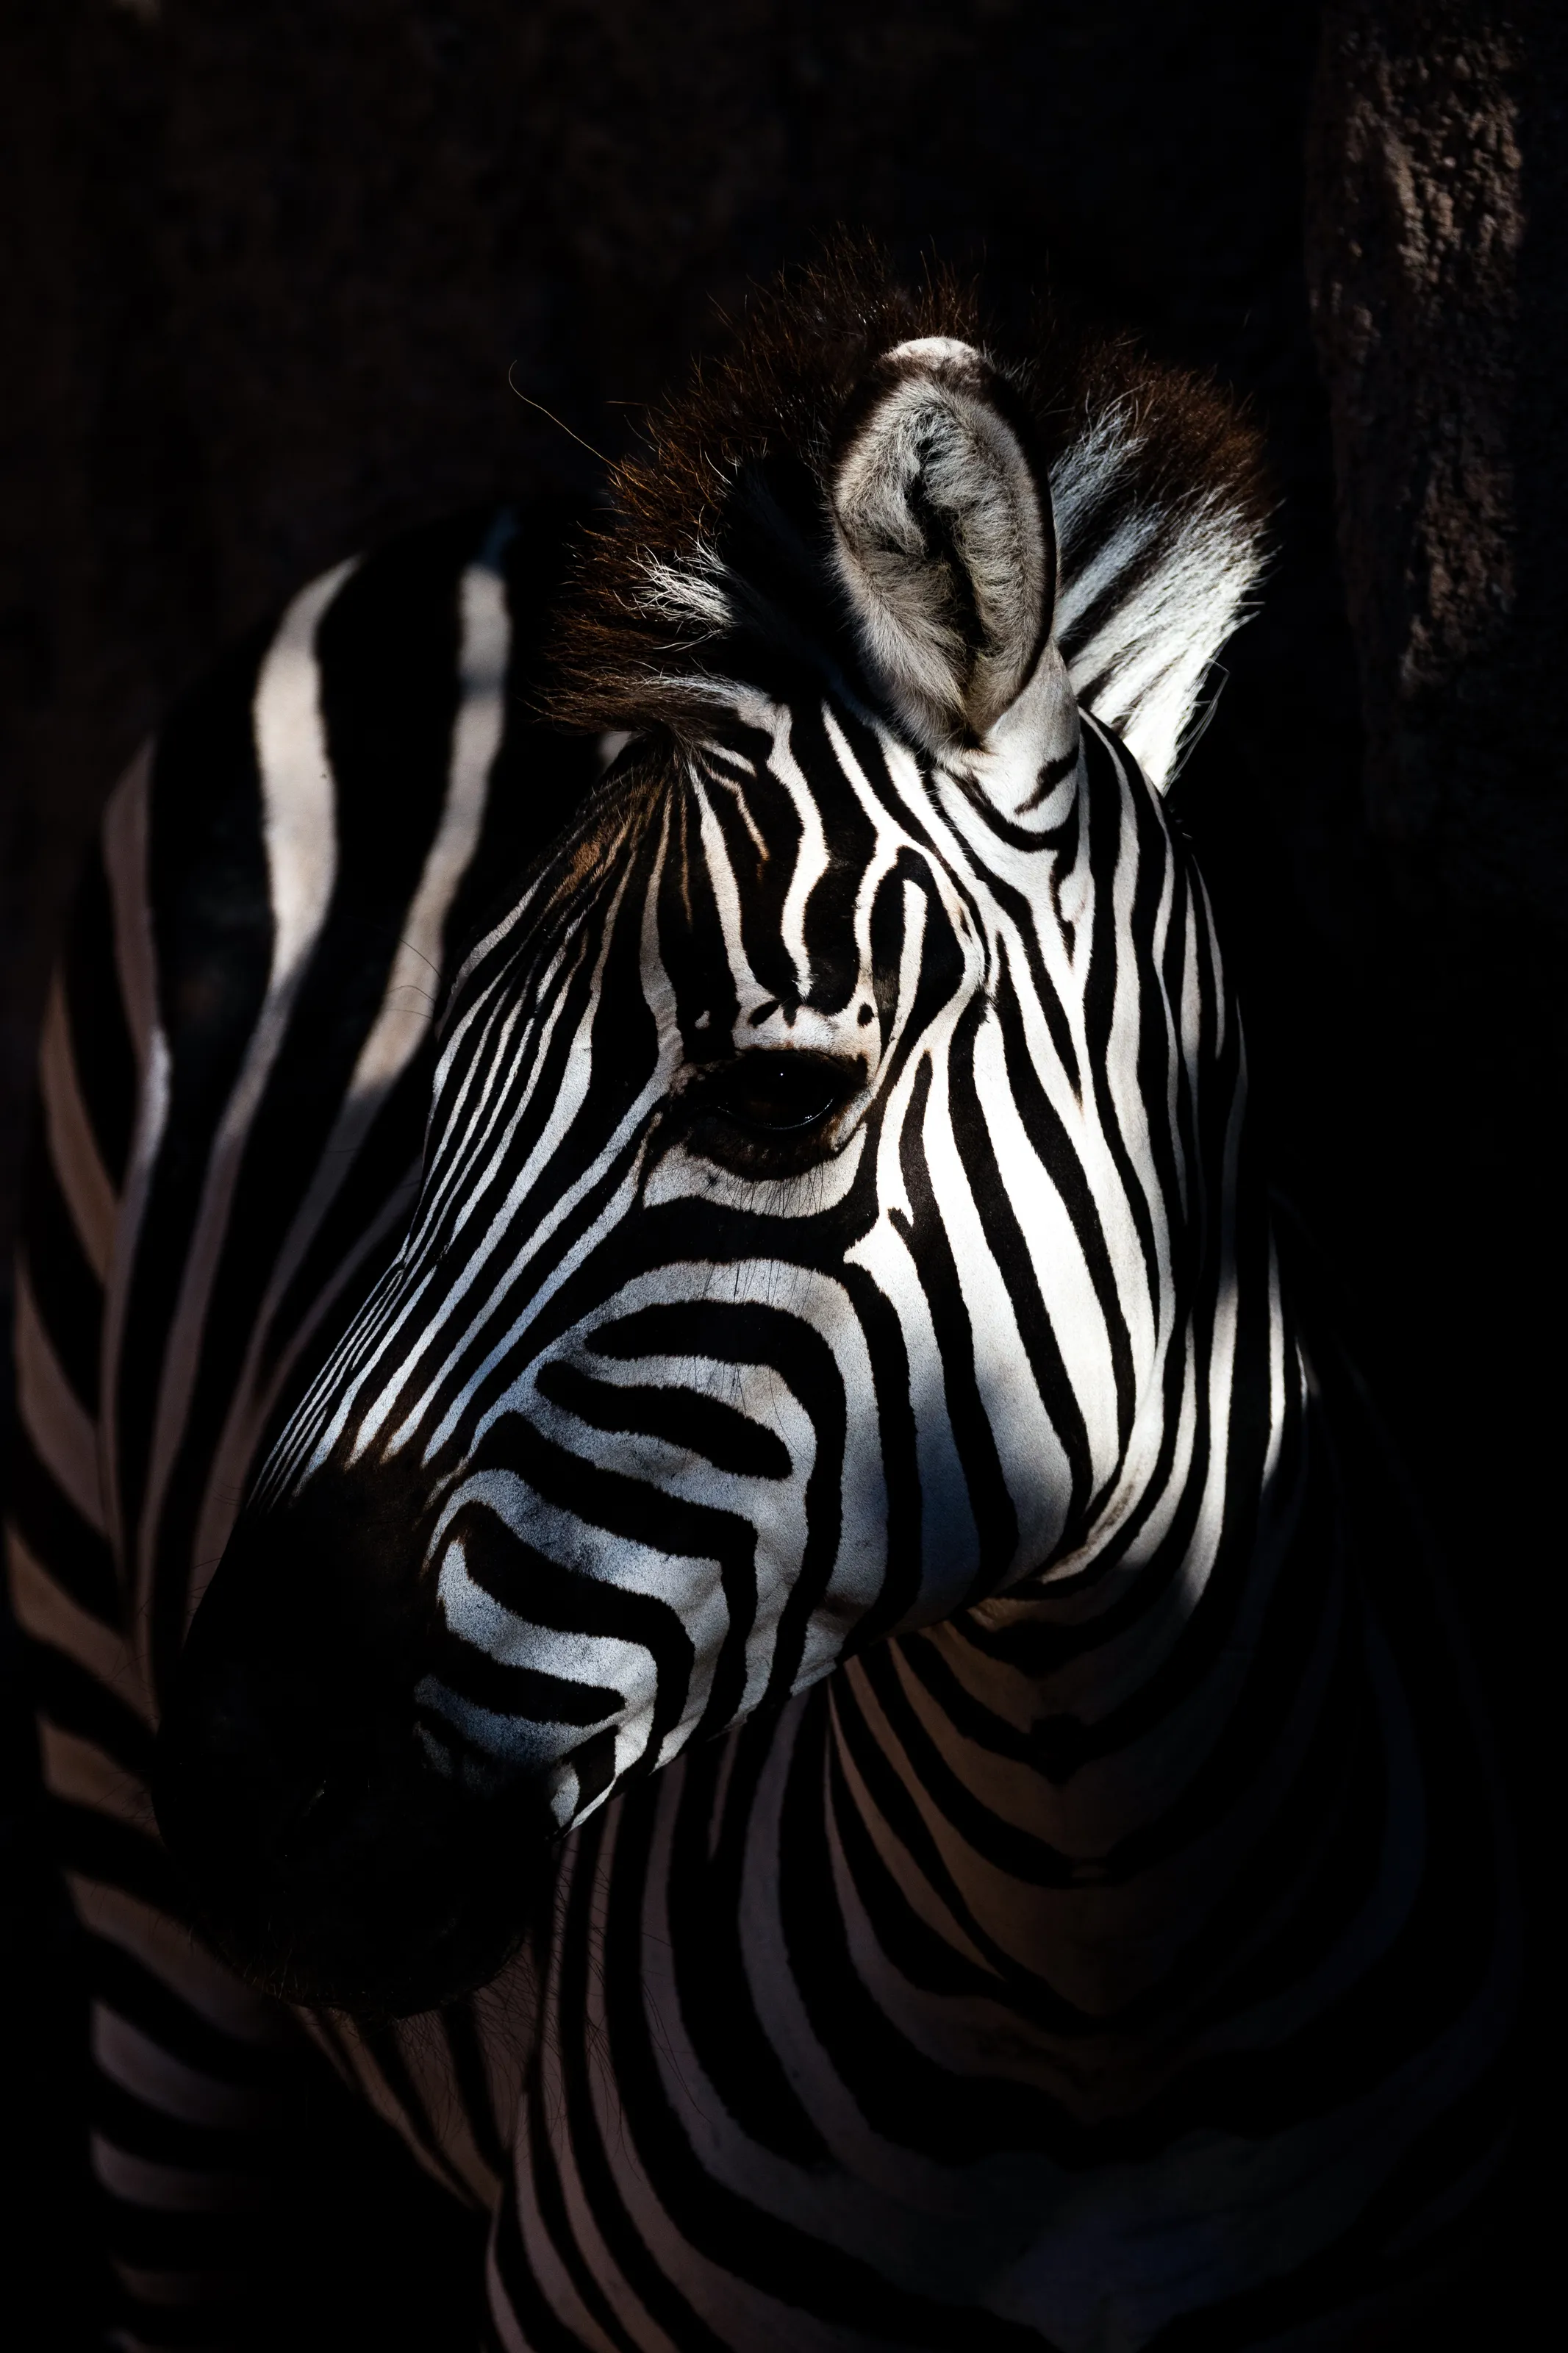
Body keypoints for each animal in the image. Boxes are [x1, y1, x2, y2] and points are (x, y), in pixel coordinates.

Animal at [8, 250, 1515, 2350]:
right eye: (424, 1100)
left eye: (777, 1098)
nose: (236, 1785)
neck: (1093, 1951)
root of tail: (479, 525)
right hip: (130, 1906)